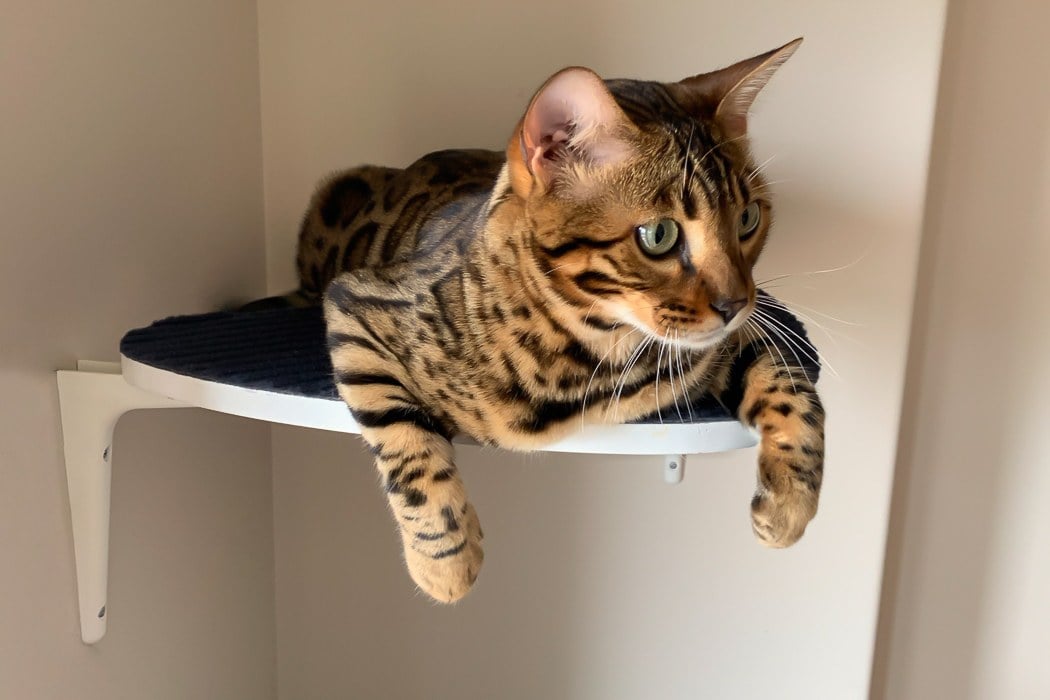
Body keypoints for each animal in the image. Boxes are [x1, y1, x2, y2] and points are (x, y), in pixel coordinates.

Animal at [286, 39, 824, 602]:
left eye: (748, 219)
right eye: (659, 235)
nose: (736, 302)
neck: (593, 354)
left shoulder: (743, 335)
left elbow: (793, 389)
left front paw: (788, 507)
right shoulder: (357, 302)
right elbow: (405, 443)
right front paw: (446, 563)